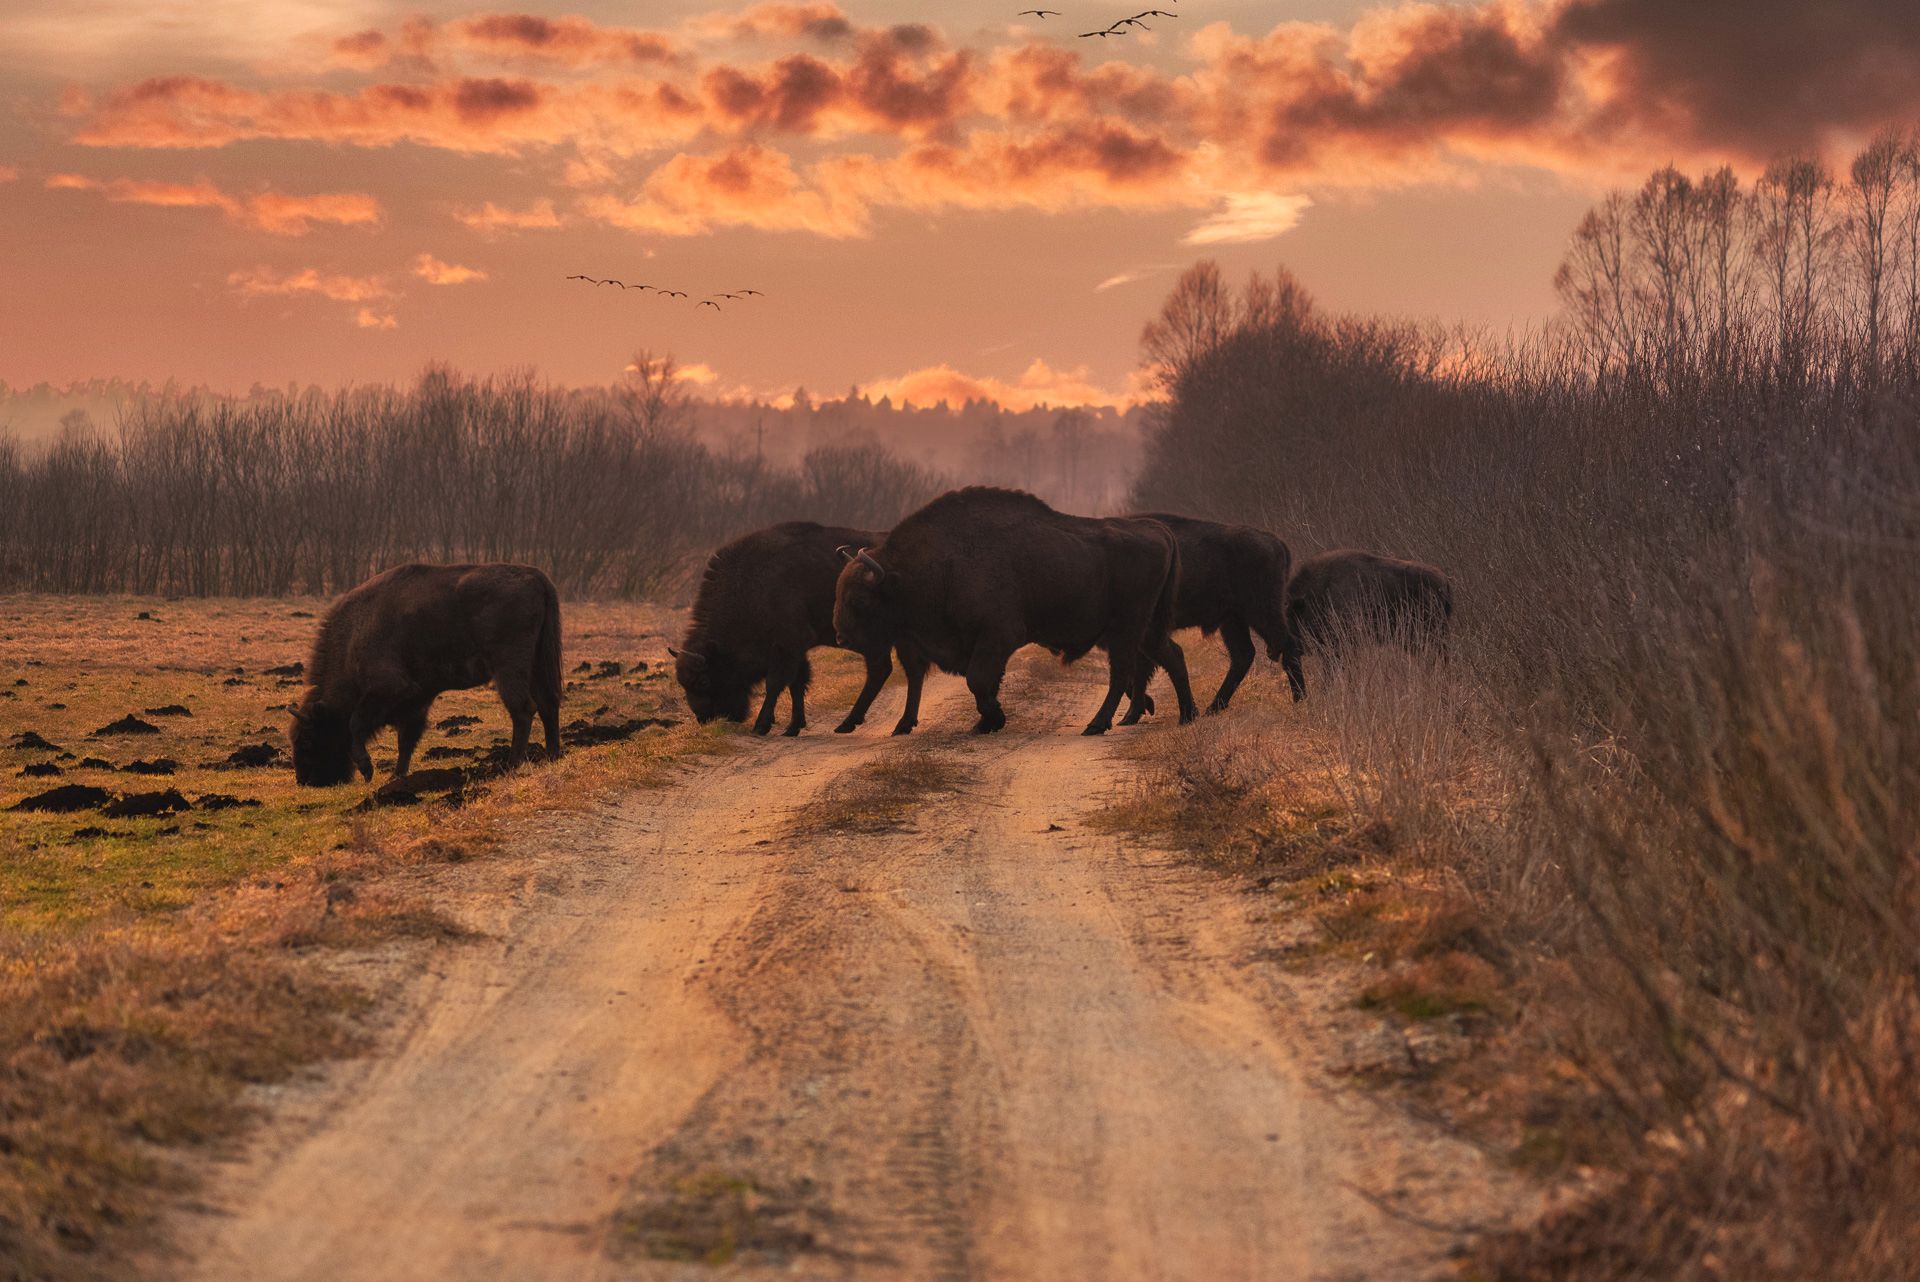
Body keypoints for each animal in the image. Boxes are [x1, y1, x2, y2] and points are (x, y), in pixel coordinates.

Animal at [288, 564, 560, 786]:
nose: (305, 781)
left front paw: (367, 769)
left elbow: (356, 723)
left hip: (509, 667)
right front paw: (397, 775)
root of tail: (536, 577)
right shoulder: (417, 699)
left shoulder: (389, 688)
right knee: (548, 704)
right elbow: (406, 740)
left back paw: (511, 765)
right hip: (539, 662)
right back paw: (553, 757)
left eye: (308, 740)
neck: (355, 634)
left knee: (523, 709)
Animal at [672, 522, 925, 736]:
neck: (751, 586)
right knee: (898, 670)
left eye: (703, 681)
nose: (704, 718)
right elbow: (797, 683)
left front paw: (761, 725)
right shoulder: (795, 650)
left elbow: (776, 684)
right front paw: (793, 727)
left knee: (890, 670)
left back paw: (868, 724)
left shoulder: (787, 646)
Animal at [833, 485, 1190, 736]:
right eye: (839, 593)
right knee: (1172, 655)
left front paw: (994, 718)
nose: (841, 636)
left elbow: (978, 680)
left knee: (1123, 673)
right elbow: (983, 682)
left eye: (860, 601)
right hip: (1147, 630)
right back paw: (1188, 715)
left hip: (1126, 629)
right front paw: (984, 723)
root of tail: (1158, 531)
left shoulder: (998, 636)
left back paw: (1096, 725)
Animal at [1121, 514, 1305, 721]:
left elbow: (1139, 669)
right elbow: (1140, 669)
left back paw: (1299, 699)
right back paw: (1213, 707)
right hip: (1232, 620)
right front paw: (1135, 712)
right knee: (1243, 655)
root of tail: (1275, 542)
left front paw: (1134, 712)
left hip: (1260, 612)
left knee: (1286, 643)